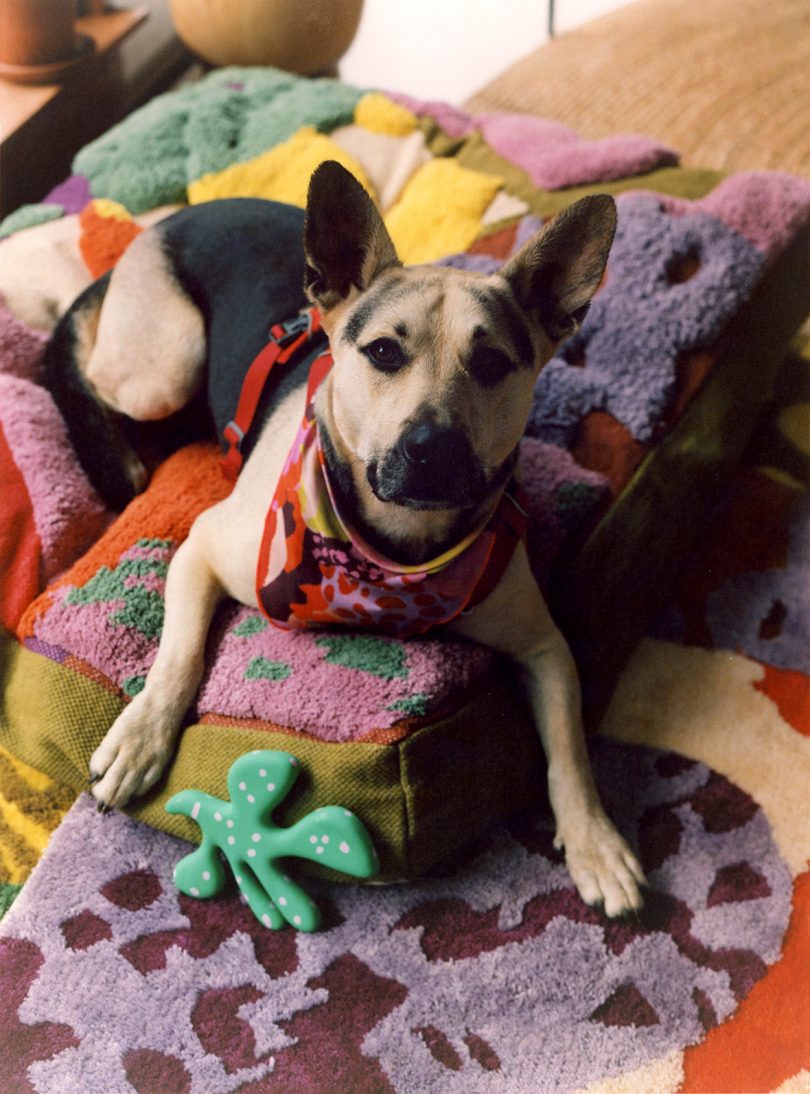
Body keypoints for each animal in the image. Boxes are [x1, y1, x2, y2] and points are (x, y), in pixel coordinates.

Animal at [47, 159, 643, 914]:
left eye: (492, 364)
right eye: (383, 352)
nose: (432, 450)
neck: (389, 552)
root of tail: (159, 225)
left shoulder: (544, 647)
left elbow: (569, 749)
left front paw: (594, 840)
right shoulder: (202, 548)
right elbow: (177, 656)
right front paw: (143, 735)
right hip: (160, 373)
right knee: (87, 376)